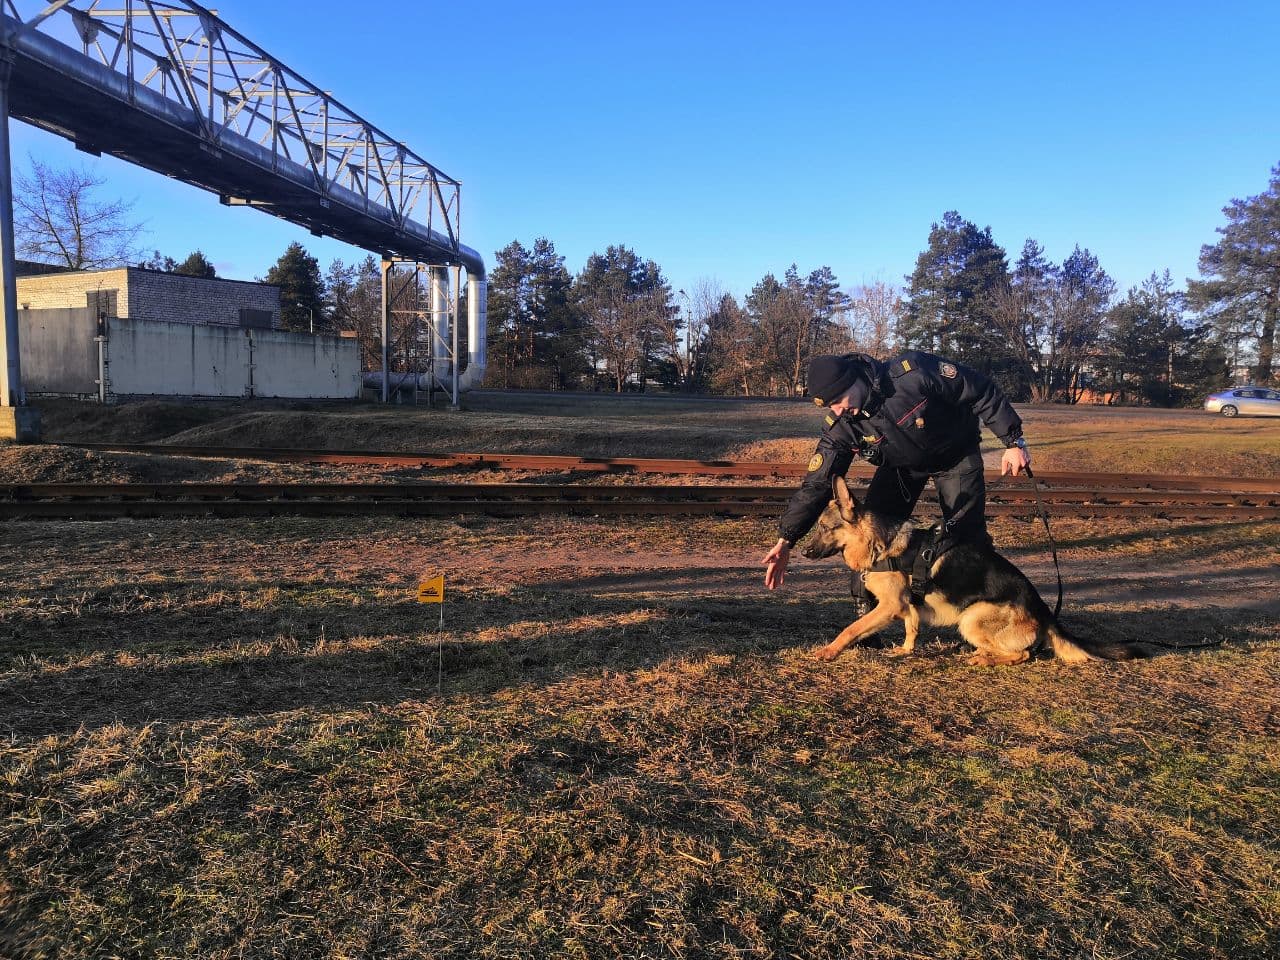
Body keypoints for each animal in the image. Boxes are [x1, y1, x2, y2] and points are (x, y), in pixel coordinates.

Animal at [798, 476, 1141, 670]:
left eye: (824, 528)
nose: (804, 553)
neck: (879, 544)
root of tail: (1044, 612)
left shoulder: (890, 605)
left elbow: (852, 628)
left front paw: (828, 651)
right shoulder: (906, 606)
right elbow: (912, 628)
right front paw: (906, 651)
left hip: (971, 618)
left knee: (1023, 655)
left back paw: (985, 658)